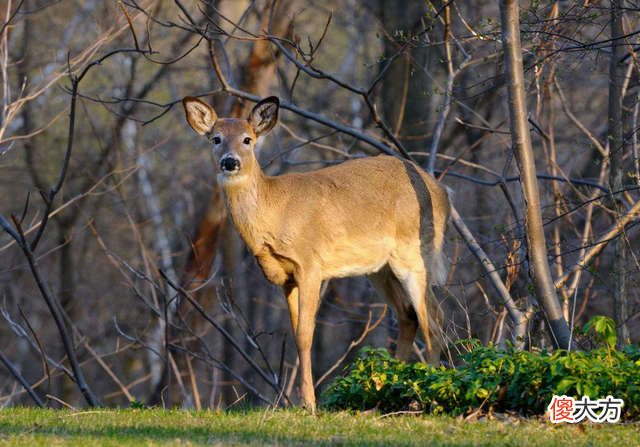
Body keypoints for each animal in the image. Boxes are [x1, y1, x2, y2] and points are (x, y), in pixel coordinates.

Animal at [182, 95, 451, 413]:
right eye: (216, 138)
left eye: (248, 139)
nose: (230, 161)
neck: (274, 212)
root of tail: (442, 191)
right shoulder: (287, 277)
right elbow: (296, 332)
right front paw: (304, 401)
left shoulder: (311, 264)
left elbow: (305, 333)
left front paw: (309, 404)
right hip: (379, 269)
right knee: (409, 315)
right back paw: (392, 392)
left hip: (415, 252)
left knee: (433, 318)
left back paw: (427, 396)